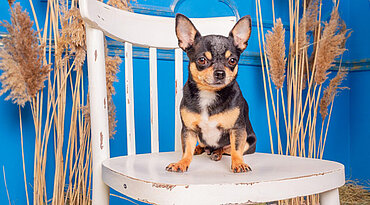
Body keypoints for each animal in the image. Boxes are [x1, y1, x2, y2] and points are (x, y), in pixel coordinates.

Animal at [166, 13, 256, 173]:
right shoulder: (189, 130)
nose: (220, 73)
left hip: (249, 141)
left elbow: (236, 149)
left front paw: (239, 163)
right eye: (202, 60)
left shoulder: (238, 129)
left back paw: (217, 153)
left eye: (232, 61)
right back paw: (200, 149)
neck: (209, 94)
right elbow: (186, 149)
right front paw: (181, 163)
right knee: (201, 145)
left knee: (227, 149)